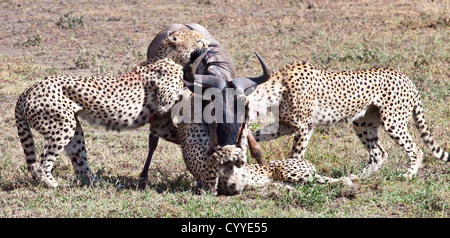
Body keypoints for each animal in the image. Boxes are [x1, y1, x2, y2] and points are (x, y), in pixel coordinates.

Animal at [15, 29, 209, 188]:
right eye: (198, 40)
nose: (207, 44)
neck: (170, 57)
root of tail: (28, 89)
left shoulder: (161, 125)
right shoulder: (164, 103)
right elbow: (182, 93)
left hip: (73, 130)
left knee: (80, 165)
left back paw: (97, 183)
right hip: (62, 126)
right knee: (41, 163)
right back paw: (52, 184)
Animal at [248, 57, 448, 179]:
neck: (278, 86)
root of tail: (407, 78)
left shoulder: (304, 127)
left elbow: (296, 154)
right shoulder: (286, 126)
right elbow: (258, 135)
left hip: (393, 122)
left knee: (415, 149)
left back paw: (408, 175)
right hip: (362, 123)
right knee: (378, 153)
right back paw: (359, 178)